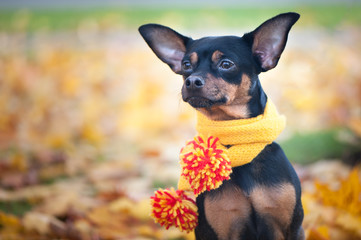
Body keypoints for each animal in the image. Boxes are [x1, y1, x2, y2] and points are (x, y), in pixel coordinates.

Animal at [139, 12, 302, 239]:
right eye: (186, 65)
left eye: (226, 64)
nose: (192, 81)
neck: (236, 140)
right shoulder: (224, 225)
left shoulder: (287, 227)